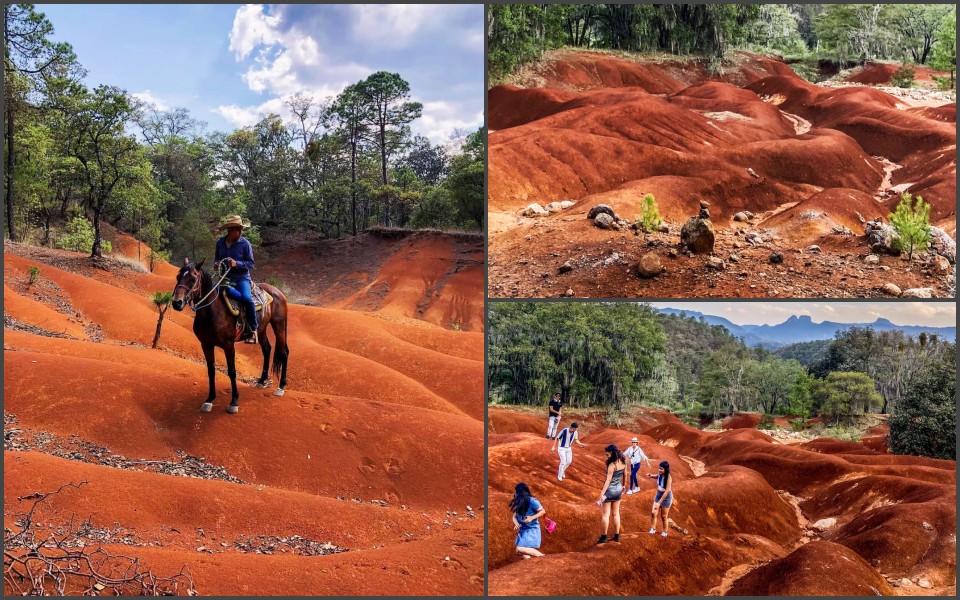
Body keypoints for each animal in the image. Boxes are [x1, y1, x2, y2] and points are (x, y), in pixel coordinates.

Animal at [171, 260, 288, 414]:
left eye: (193, 279)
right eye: (178, 277)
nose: (176, 303)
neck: (212, 312)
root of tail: (278, 291)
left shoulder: (228, 346)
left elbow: (232, 372)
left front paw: (234, 402)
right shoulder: (206, 344)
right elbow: (211, 371)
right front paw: (209, 400)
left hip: (279, 325)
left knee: (284, 352)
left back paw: (281, 387)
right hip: (262, 328)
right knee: (267, 349)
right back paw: (261, 380)